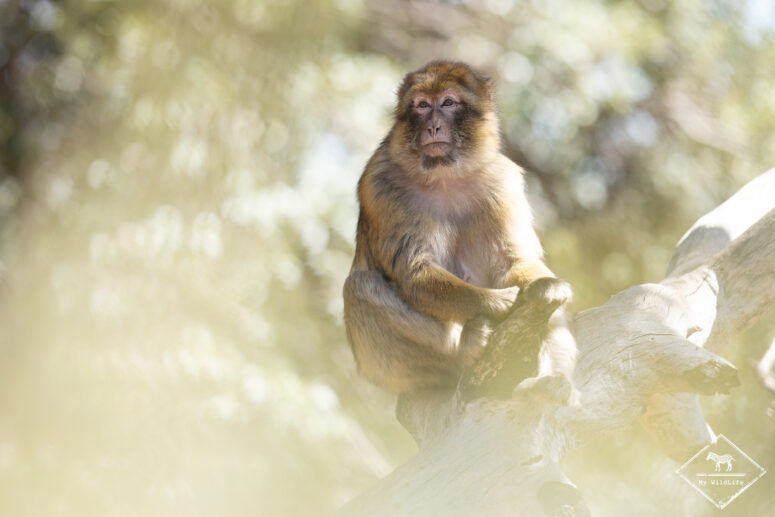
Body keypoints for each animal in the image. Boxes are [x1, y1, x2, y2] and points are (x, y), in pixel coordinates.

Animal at [342, 60, 577, 399]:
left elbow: (514, 261)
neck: (445, 176)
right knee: (360, 287)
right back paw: (465, 352)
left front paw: (545, 285)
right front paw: (496, 302)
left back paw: (550, 381)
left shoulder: (502, 181)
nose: (433, 126)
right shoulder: (380, 182)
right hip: (389, 371)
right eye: (422, 105)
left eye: (448, 103)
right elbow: (414, 272)